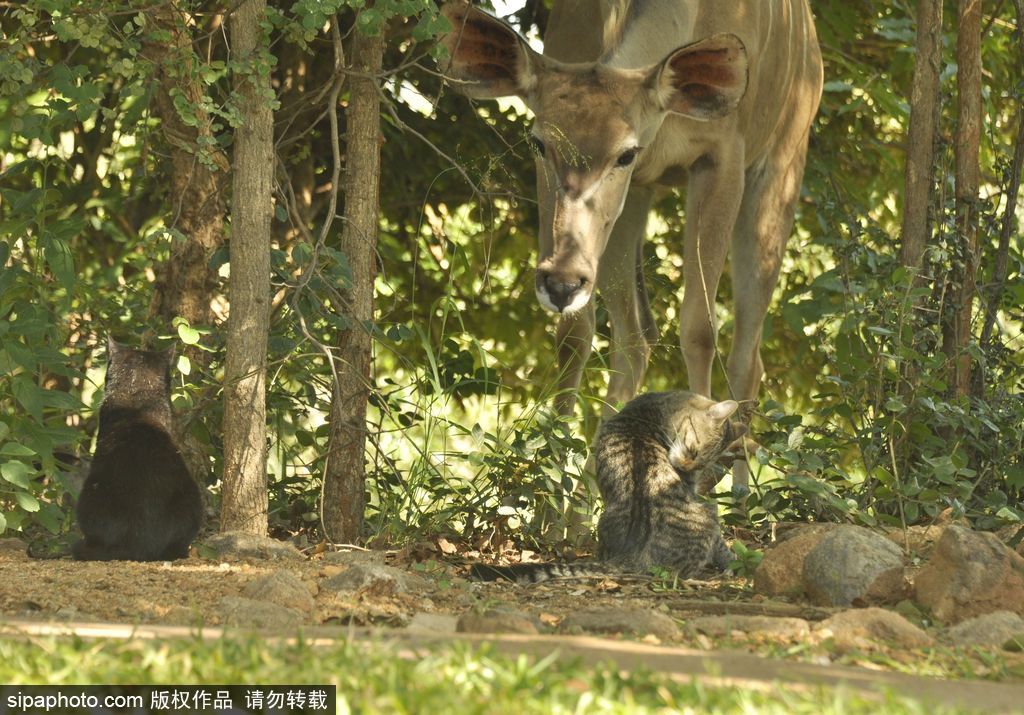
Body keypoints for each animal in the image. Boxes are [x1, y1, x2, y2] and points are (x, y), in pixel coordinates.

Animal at [471, 393, 745, 581]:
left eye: (701, 463)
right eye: (693, 451)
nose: (686, 468)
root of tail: (632, 557)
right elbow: (722, 545)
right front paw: (734, 561)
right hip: (708, 512)